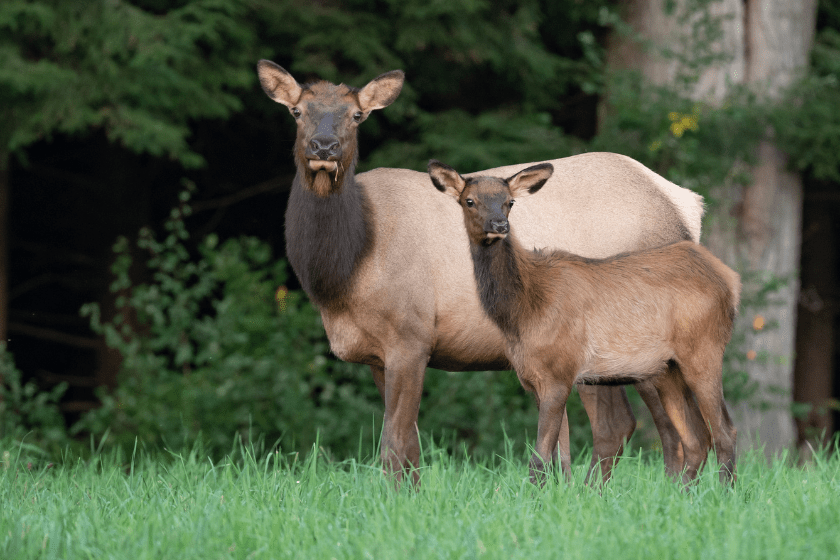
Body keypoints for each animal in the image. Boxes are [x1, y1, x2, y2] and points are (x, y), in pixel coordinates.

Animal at [428, 160, 740, 485]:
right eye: (469, 201)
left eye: (509, 201)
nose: (500, 226)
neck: (520, 312)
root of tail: (730, 281)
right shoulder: (532, 378)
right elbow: (553, 458)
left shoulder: (559, 371)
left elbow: (539, 460)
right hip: (666, 369)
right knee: (697, 438)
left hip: (704, 351)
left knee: (724, 432)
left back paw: (722, 491)